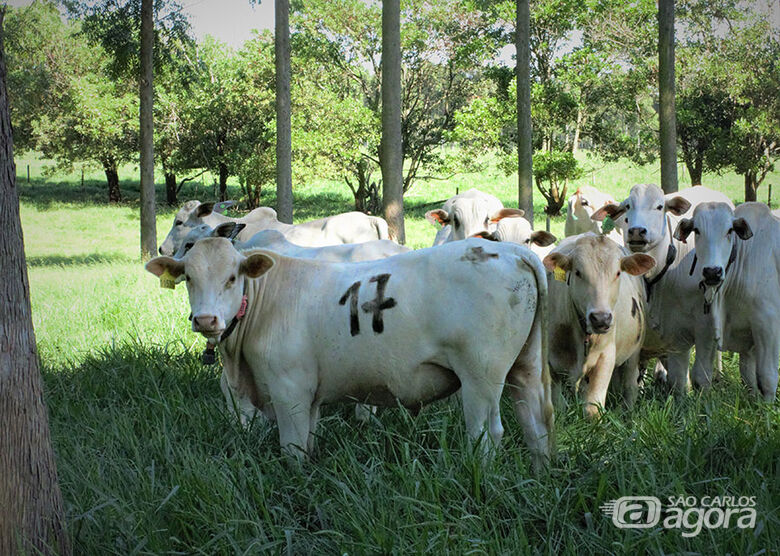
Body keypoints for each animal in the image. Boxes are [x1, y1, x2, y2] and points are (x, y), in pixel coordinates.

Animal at [146, 239, 556, 470]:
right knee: (536, 426)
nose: (205, 319)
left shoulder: (289, 389)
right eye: (189, 278)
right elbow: (309, 442)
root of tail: (513, 250)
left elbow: (293, 449)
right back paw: (540, 475)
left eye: (232, 277)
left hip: (481, 376)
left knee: (487, 434)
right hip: (525, 367)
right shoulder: (309, 395)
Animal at [544, 232, 660, 414]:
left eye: (618, 272)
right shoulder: (551, 362)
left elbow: (593, 407)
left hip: (634, 352)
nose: (601, 318)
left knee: (630, 385)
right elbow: (557, 405)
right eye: (577, 272)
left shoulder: (605, 357)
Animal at [672, 202, 776, 402]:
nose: (712, 272)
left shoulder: (768, 324)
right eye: (697, 230)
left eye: (730, 231)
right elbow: (748, 376)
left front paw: (767, 408)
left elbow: (767, 377)